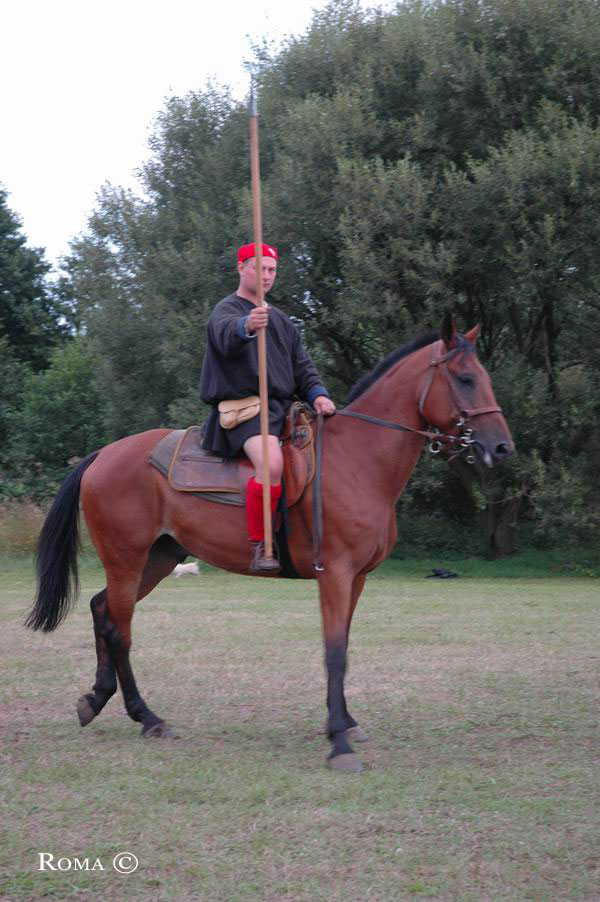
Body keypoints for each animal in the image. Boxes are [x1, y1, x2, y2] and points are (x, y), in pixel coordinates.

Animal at [26, 315, 514, 773]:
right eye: (465, 378)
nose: (502, 448)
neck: (358, 460)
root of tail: (103, 455)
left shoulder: (356, 579)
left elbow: (344, 645)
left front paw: (345, 722)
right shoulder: (334, 574)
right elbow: (334, 653)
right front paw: (339, 743)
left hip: (157, 560)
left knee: (101, 609)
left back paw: (97, 699)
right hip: (127, 560)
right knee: (119, 629)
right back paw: (147, 716)